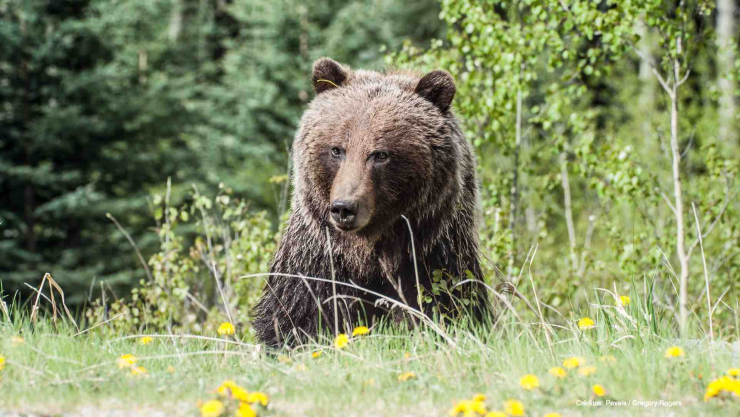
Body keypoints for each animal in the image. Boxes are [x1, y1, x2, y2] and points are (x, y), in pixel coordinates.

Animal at [251, 58, 490, 348]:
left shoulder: (433, 256)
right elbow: (296, 316)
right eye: (337, 150)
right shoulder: (318, 261)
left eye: (380, 154)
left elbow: (447, 307)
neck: (370, 252)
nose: (344, 208)